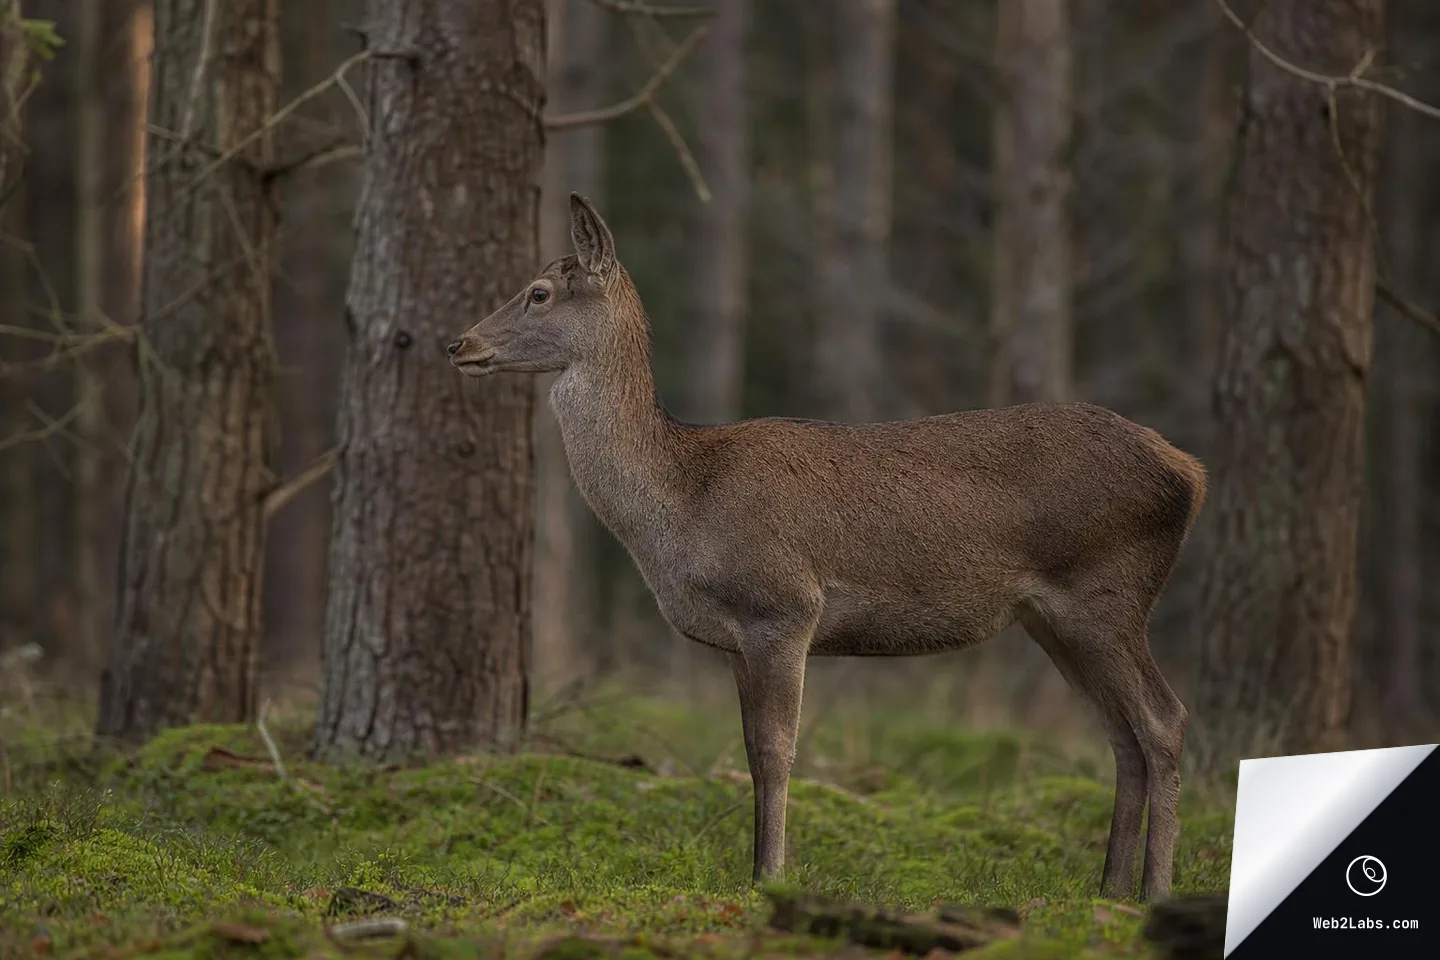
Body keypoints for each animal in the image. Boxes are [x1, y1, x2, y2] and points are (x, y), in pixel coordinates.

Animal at [447, 194, 1206, 902]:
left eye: (538, 291)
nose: (458, 344)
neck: (682, 501)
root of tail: (1190, 471)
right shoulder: (735, 638)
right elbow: (750, 750)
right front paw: (758, 868)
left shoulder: (783, 606)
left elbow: (775, 750)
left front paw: (771, 875)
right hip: (1052, 620)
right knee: (1121, 734)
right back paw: (1110, 888)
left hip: (1107, 593)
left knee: (1164, 720)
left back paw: (1155, 887)